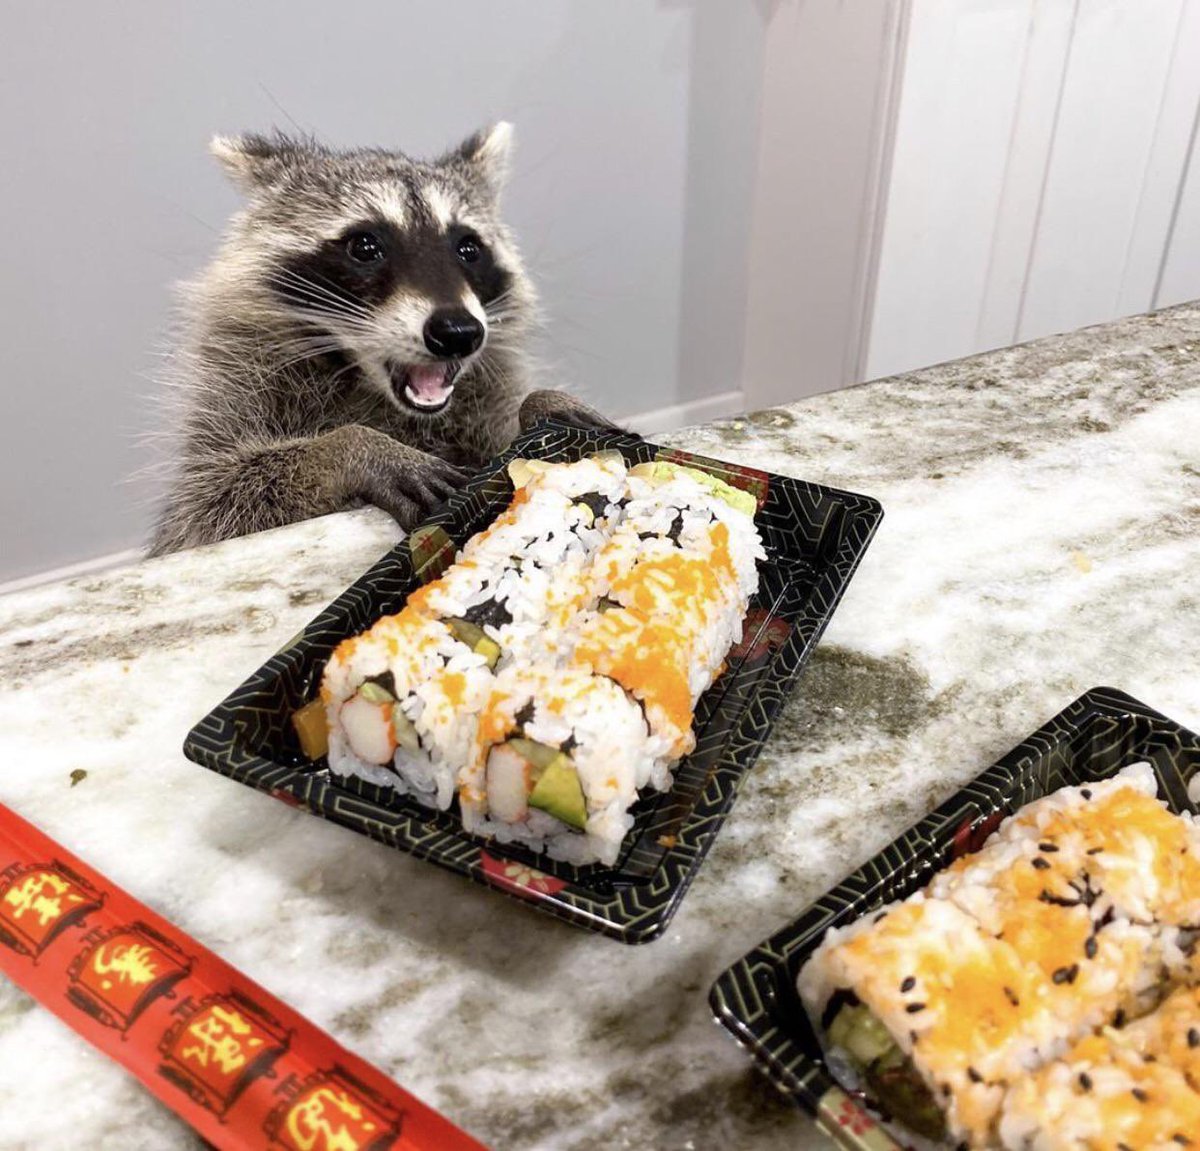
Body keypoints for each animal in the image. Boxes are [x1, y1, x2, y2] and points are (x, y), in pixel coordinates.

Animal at [149, 123, 616, 555]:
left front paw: (543, 403)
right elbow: (211, 505)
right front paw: (350, 449)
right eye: (365, 246)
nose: (458, 332)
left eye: (468, 249)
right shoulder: (232, 397)